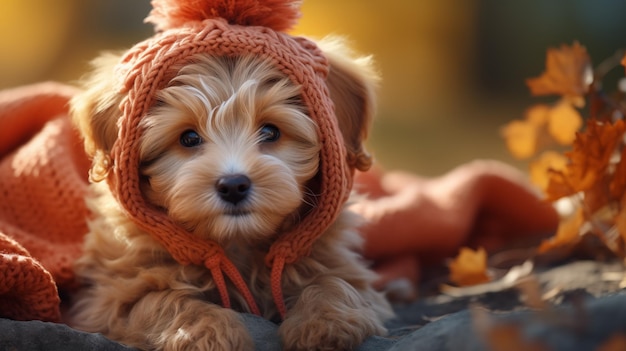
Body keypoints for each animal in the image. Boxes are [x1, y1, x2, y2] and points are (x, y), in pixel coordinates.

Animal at [68, 37, 390, 350]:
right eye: (189, 138)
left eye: (270, 132)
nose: (233, 185)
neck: (237, 241)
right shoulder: (108, 299)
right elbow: (160, 300)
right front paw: (204, 332)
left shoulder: (340, 263)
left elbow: (335, 282)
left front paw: (326, 321)